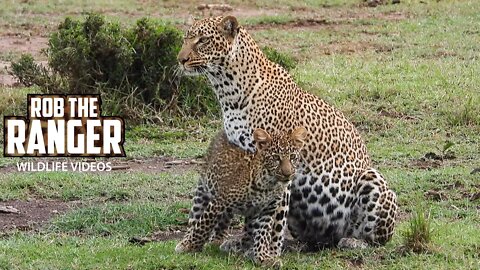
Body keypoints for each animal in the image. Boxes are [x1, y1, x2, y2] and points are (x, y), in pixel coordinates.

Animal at [177, 16, 398, 249]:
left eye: (203, 40)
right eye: (185, 39)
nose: (180, 59)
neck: (228, 92)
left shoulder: (281, 163)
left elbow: (272, 216)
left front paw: (258, 247)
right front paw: (238, 242)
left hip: (372, 179)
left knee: (376, 238)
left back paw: (353, 241)